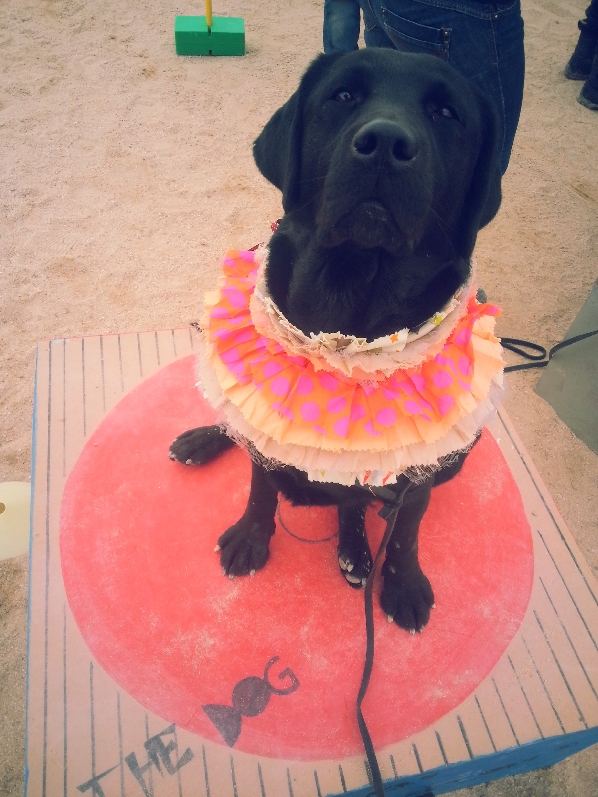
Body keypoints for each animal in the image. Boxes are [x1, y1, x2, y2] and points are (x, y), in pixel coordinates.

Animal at [170, 48, 502, 634]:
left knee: (357, 502)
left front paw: (402, 582)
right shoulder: (268, 426)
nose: (386, 143)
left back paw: (355, 550)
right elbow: (259, 487)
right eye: (343, 95)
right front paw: (251, 537)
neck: (353, 310)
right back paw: (202, 440)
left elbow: (407, 530)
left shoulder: (421, 469)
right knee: (235, 420)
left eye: (446, 112)